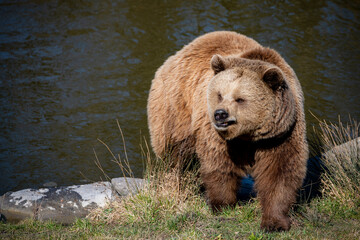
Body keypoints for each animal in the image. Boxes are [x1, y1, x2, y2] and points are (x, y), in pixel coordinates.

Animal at [146, 31, 306, 232]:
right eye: (220, 94)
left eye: (240, 99)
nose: (220, 114)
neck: (248, 136)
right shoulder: (217, 134)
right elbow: (219, 164)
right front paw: (222, 205)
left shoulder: (281, 134)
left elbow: (280, 172)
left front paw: (275, 222)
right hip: (176, 108)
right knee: (177, 156)